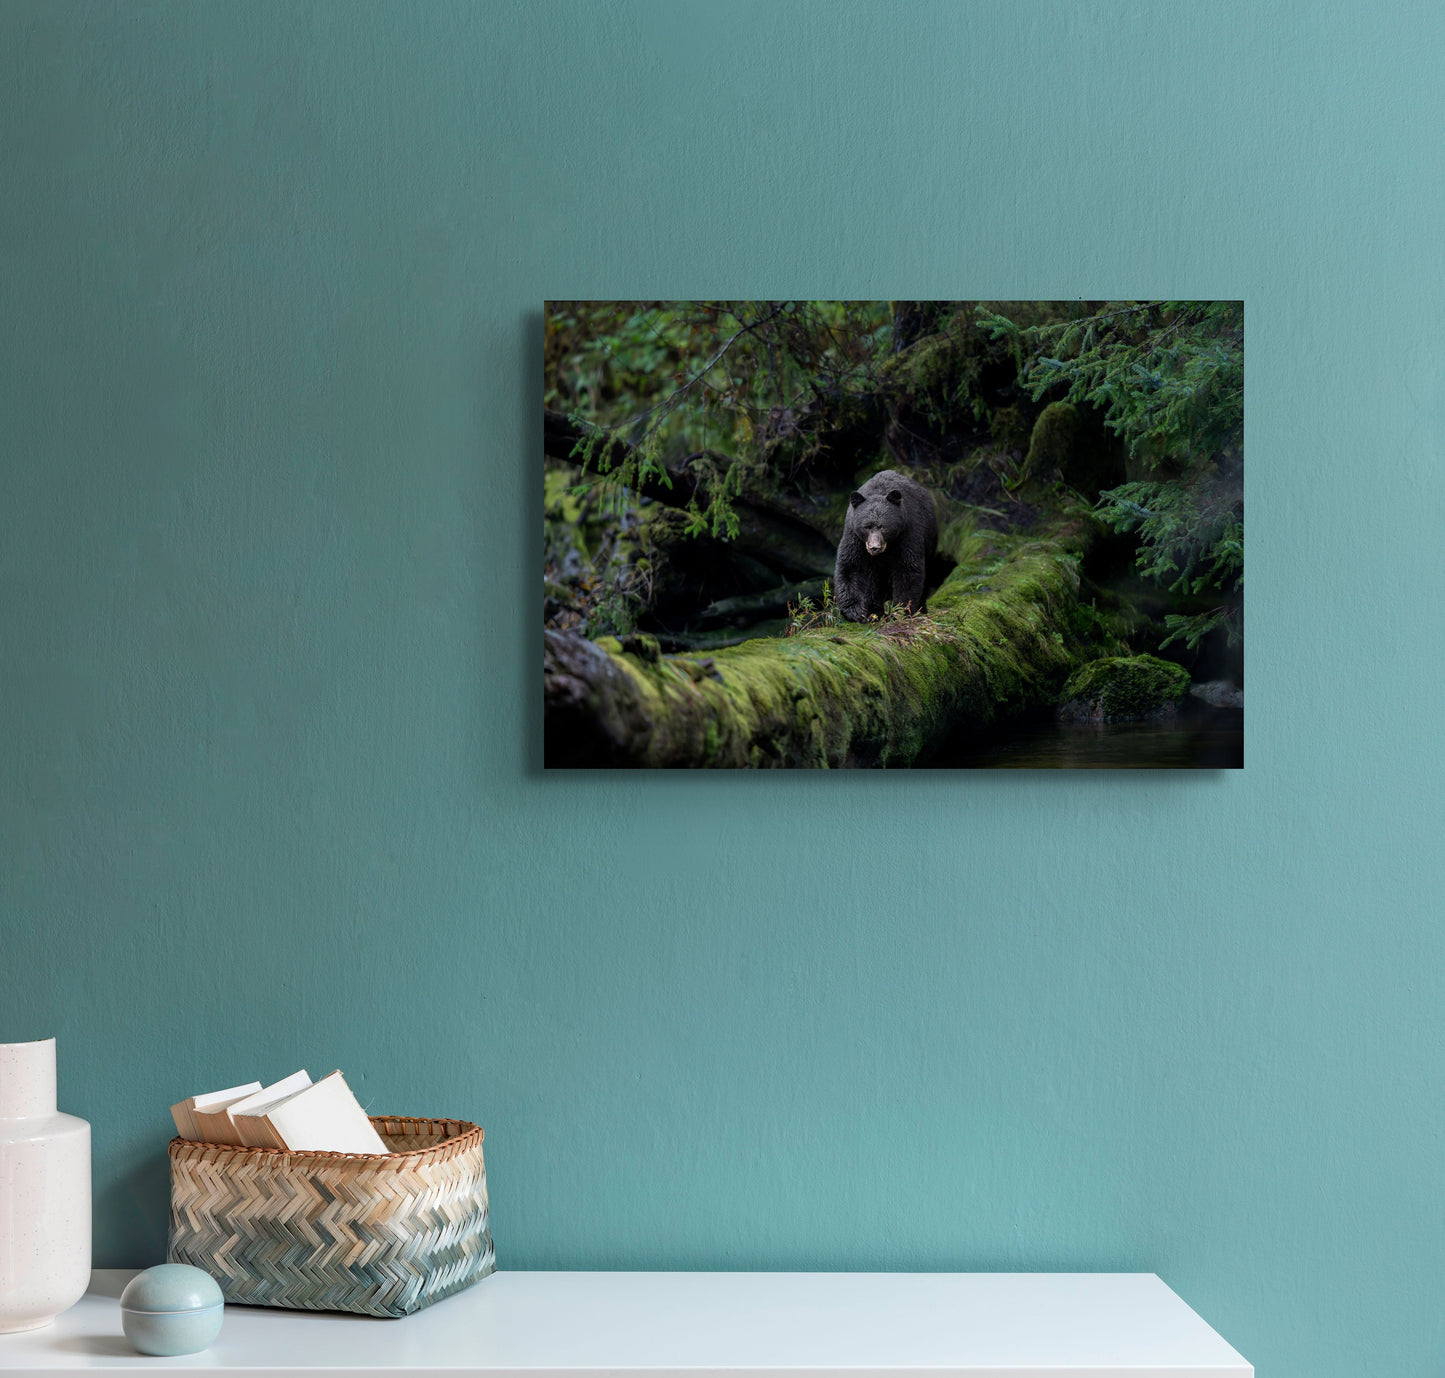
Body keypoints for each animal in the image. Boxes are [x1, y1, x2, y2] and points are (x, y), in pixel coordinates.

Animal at [838, 473, 936, 624]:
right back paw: (874, 611)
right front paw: (855, 611)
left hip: (930, 537)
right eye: (867, 527)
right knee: (875, 580)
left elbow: (907, 569)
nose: (874, 547)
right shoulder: (854, 536)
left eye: (883, 527)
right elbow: (851, 565)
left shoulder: (908, 532)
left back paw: (921, 608)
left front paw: (900, 610)